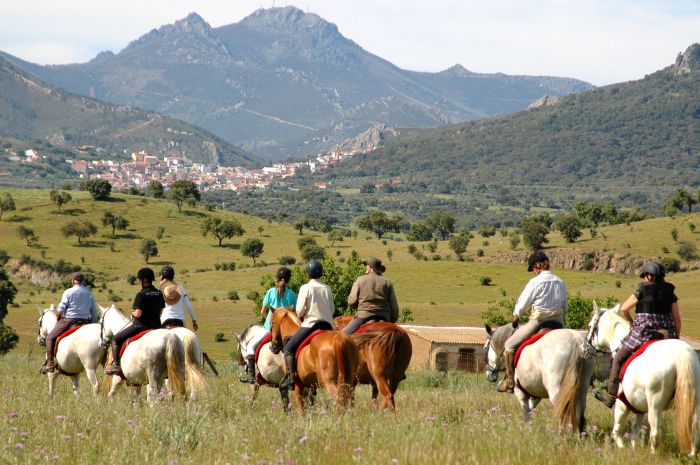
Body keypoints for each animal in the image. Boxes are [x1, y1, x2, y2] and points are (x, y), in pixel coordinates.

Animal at [588, 300, 696, 454]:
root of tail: (682, 353)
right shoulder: (639, 408)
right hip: (692, 401)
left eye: (590, 325)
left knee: (655, 433)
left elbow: (617, 431)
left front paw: (622, 448)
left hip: (655, 405)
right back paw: (691, 454)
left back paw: (653, 454)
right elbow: (634, 431)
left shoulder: (622, 405)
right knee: (693, 429)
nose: (585, 345)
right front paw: (633, 450)